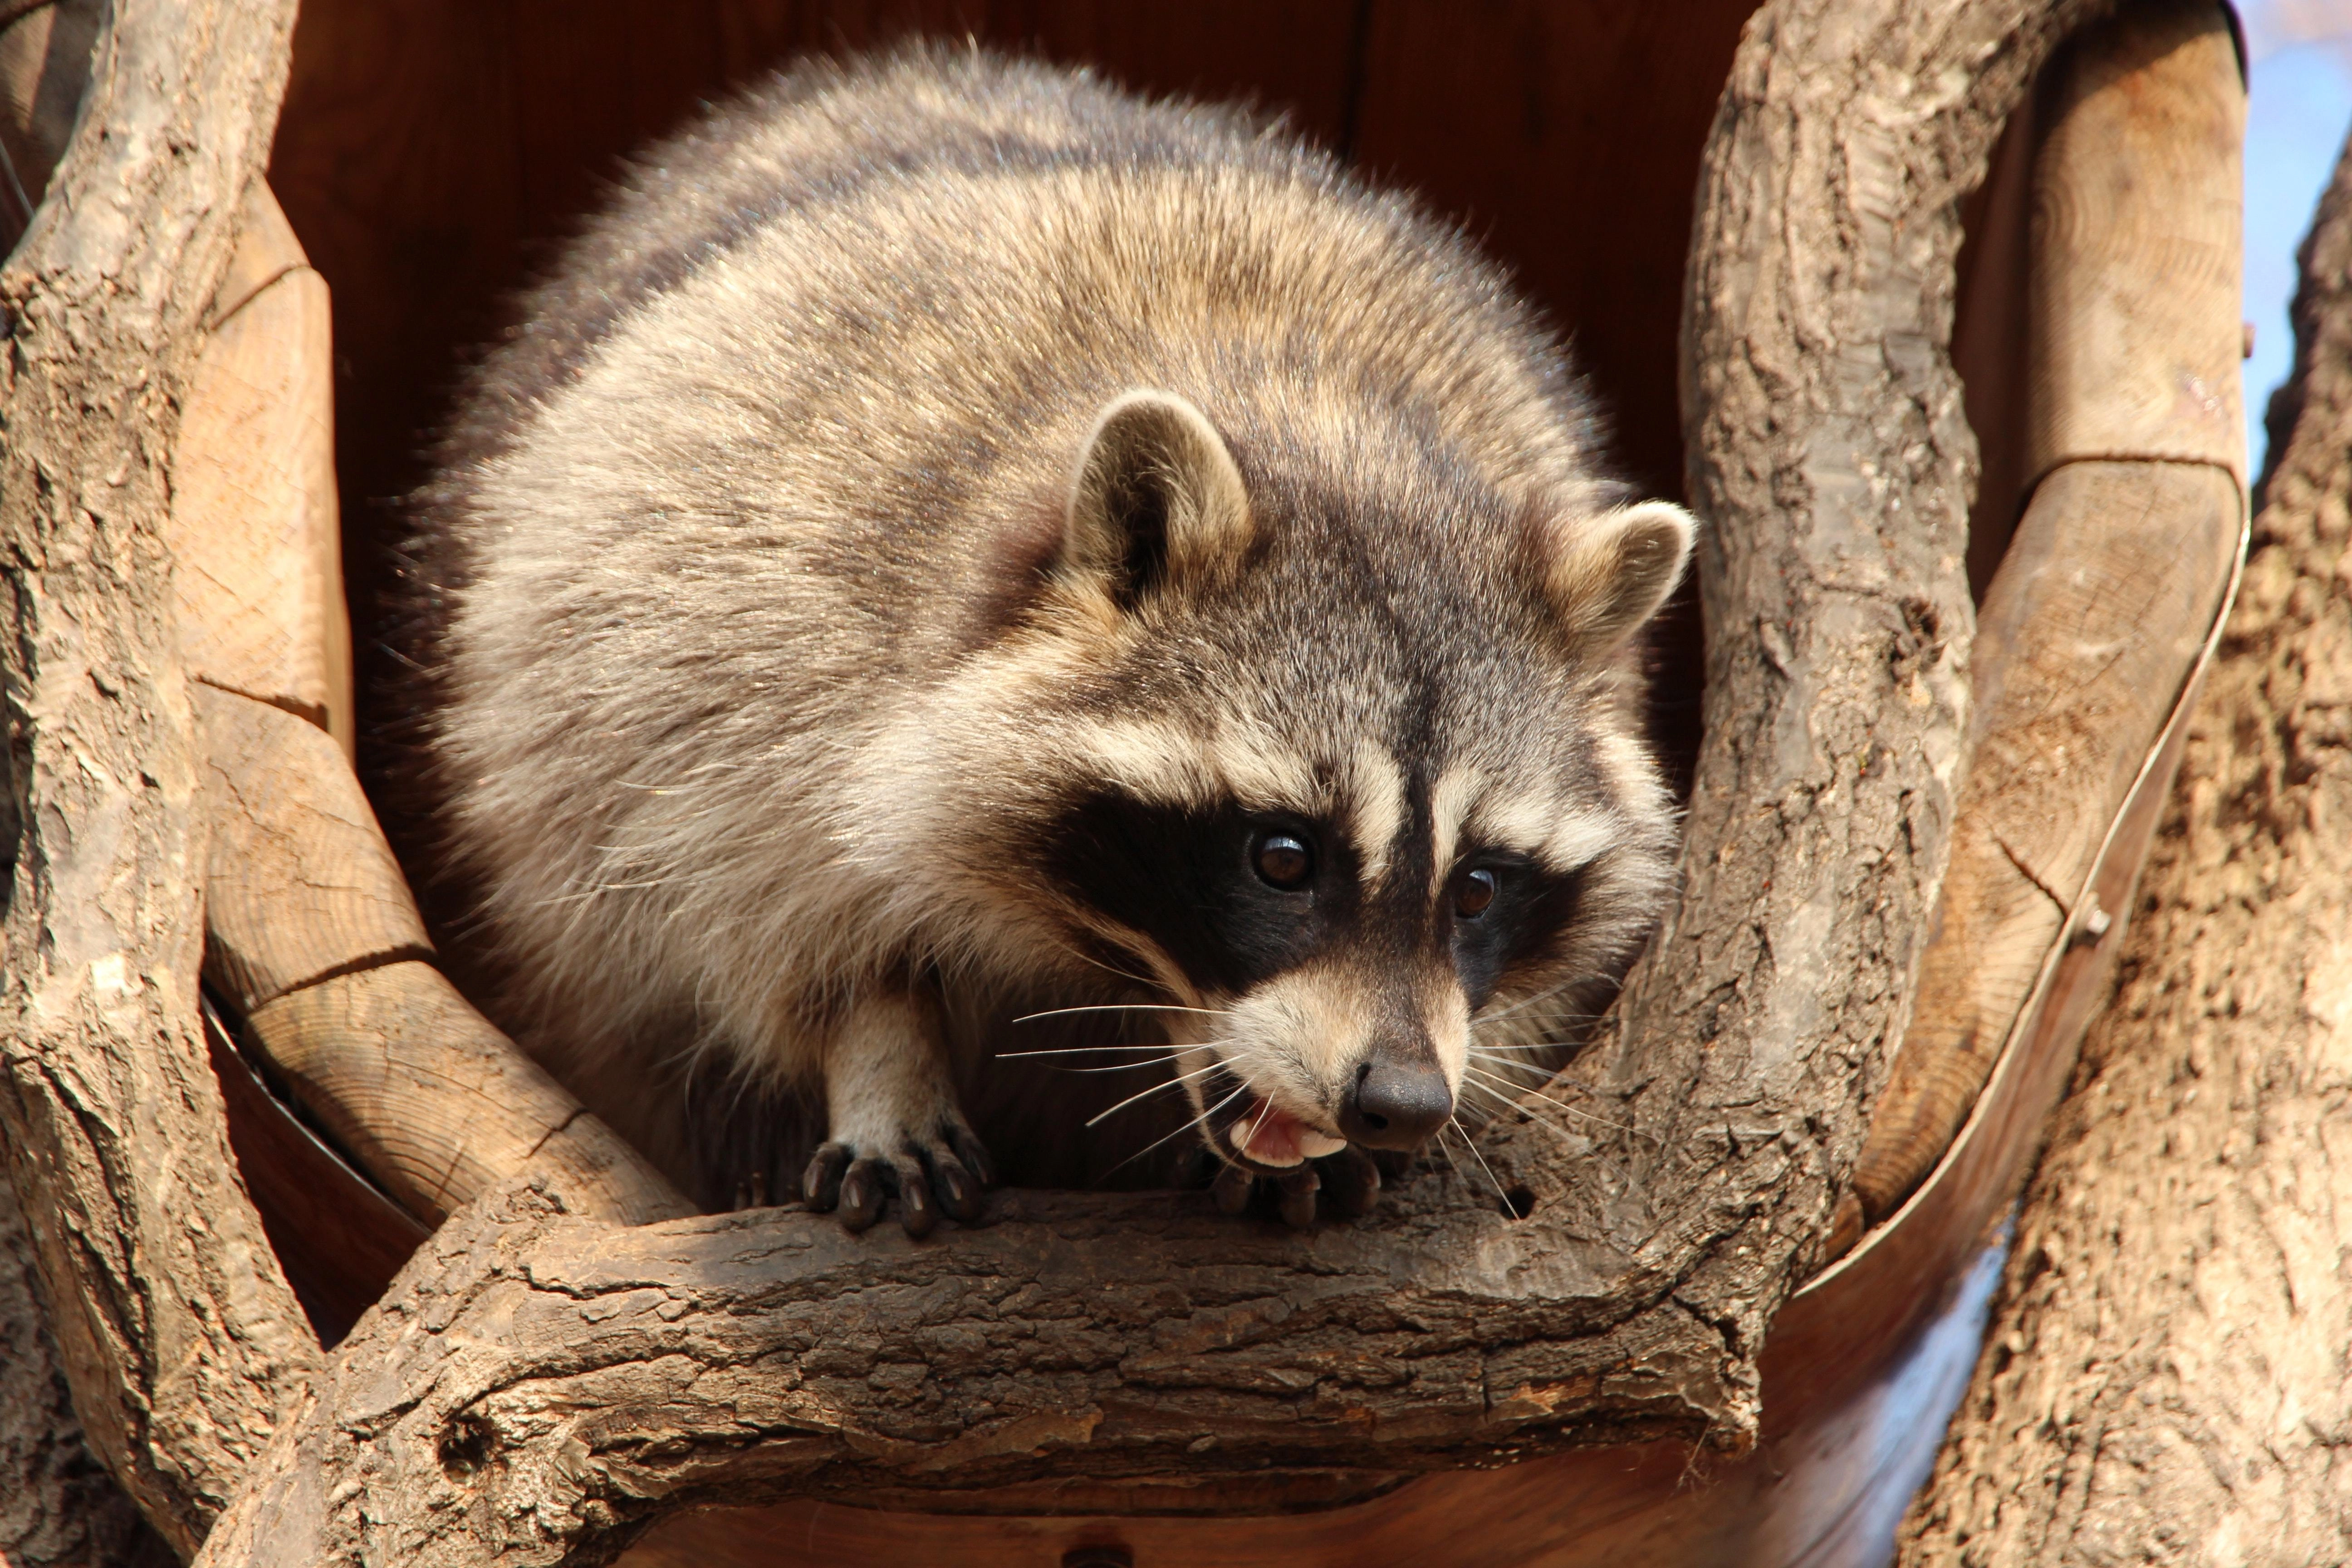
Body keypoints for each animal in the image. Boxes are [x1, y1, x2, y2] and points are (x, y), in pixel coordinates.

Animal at [409, 49, 1693, 1241]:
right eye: (1282, 857)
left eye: (1478, 885)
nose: (1402, 1103)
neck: (1328, 434)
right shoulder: (729, 620)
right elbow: (747, 896)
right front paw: (877, 1048)